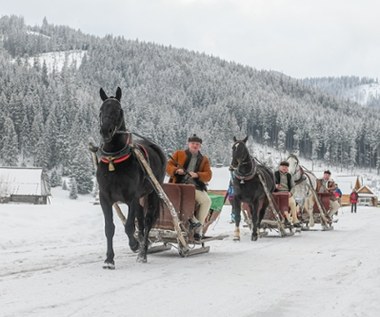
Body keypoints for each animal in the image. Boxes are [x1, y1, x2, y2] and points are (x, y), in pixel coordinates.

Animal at [95, 87, 166, 266]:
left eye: (119, 110)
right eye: (101, 109)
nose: (105, 131)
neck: (114, 160)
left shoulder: (132, 197)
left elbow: (128, 226)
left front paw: (134, 244)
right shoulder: (105, 197)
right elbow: (109, 228)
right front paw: (109, 259)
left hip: (153, 192)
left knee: (147, 221)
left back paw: (143, 252)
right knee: (140, 220)